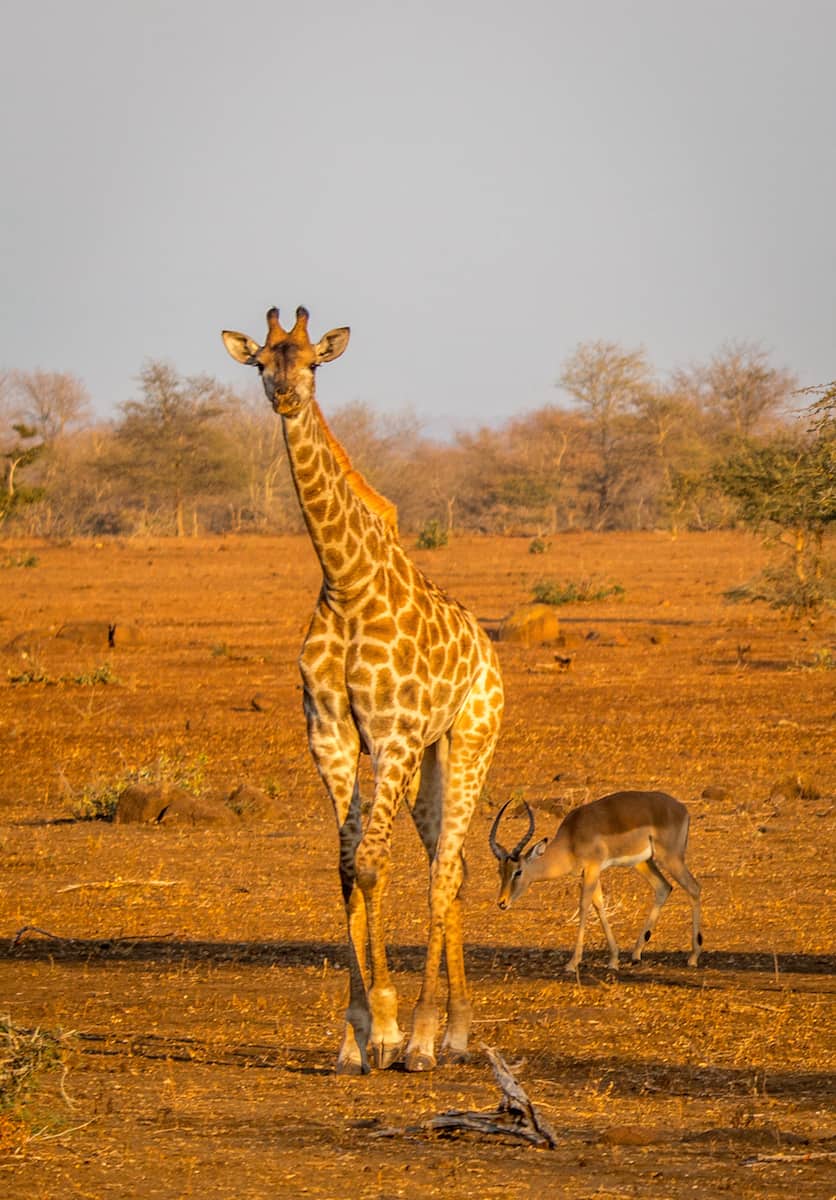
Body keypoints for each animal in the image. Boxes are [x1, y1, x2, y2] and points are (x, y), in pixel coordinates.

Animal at [221, 304, 501, 1075]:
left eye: (314, 362)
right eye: (263, 364)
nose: (286, 398)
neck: (346, 582)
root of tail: (488, 647)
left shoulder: (392, 734)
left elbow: (373, 867)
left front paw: (388, 1029)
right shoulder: (332, 735)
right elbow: (346, 867)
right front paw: (352, 1035)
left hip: (469, 740)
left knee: (443, 871)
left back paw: (429, 1038)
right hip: (432, 758)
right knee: (452, 863)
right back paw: (458, 1031)